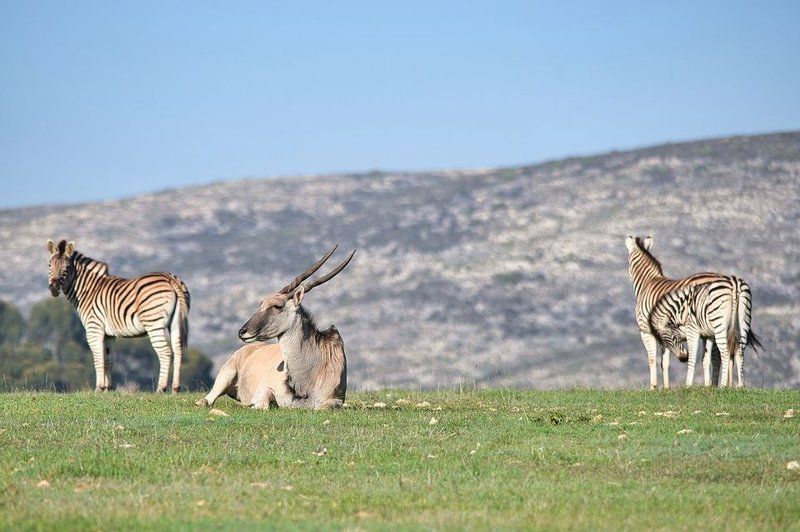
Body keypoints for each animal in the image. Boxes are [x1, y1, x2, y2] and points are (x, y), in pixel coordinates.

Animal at [47, 239, 191, 392]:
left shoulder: (94, 329)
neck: (88, 290)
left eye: (67, 267)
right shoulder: (108, 334)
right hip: (175, 324)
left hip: (154, 324)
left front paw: (98, 388)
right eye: (49, 265)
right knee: (178, 351)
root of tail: (171, 279)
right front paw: (108, 388)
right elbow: (108, 360)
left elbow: (98, 359)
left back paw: (161, 389)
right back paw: (175, 389)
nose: (54, 288)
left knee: (165, 352)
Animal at [195, 247, 354, 410]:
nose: (242, 332)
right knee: (208, 399)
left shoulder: (336, 400)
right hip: (225, 375)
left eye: (277, 306)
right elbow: (263, 404)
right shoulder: (265, 389)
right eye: (261, 304)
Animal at [620, 235, 736, 388]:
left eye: (628, 263)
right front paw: (666, 387)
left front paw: (653, 387)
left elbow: (652, 359)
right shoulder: (662, 333)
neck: (647, 282)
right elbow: (664, 362)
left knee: (718, 355)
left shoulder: (645, 331)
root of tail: (723, 279)